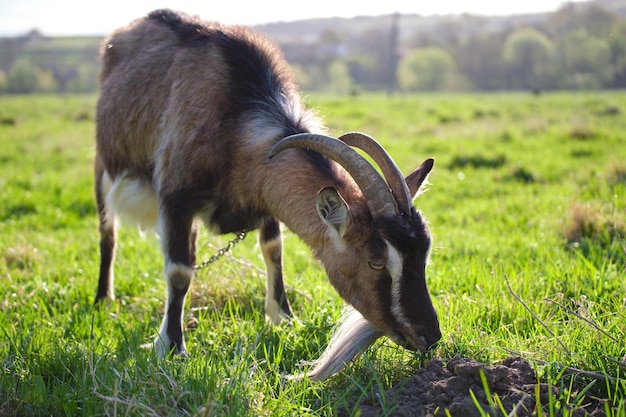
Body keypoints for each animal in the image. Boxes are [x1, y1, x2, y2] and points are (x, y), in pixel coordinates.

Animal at [95, 9, 442, 380]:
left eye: (423, 255)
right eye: (375, 261)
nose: (429, 336)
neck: (236, 119)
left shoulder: (265, 198)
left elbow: (274, 249)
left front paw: (284, 318)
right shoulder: (176, 195)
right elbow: (178, 271)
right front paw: (172, 346)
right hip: (103, 165)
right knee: (108, 231)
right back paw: (103, 299)